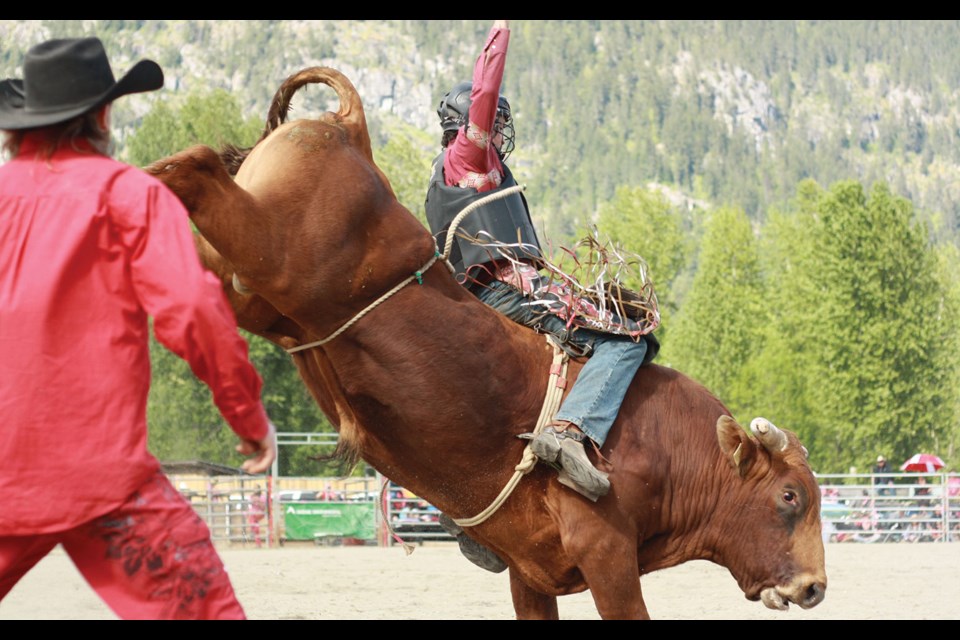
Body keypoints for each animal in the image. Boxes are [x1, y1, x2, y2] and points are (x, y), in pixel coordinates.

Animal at [146, 66, 828, 620]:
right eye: (789, 496)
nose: (815, 587)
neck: (665, 442)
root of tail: (349, 132)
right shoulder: (608, 553)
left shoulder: (532, 574)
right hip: (275, 255)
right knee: (198, 164)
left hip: (250, 288)